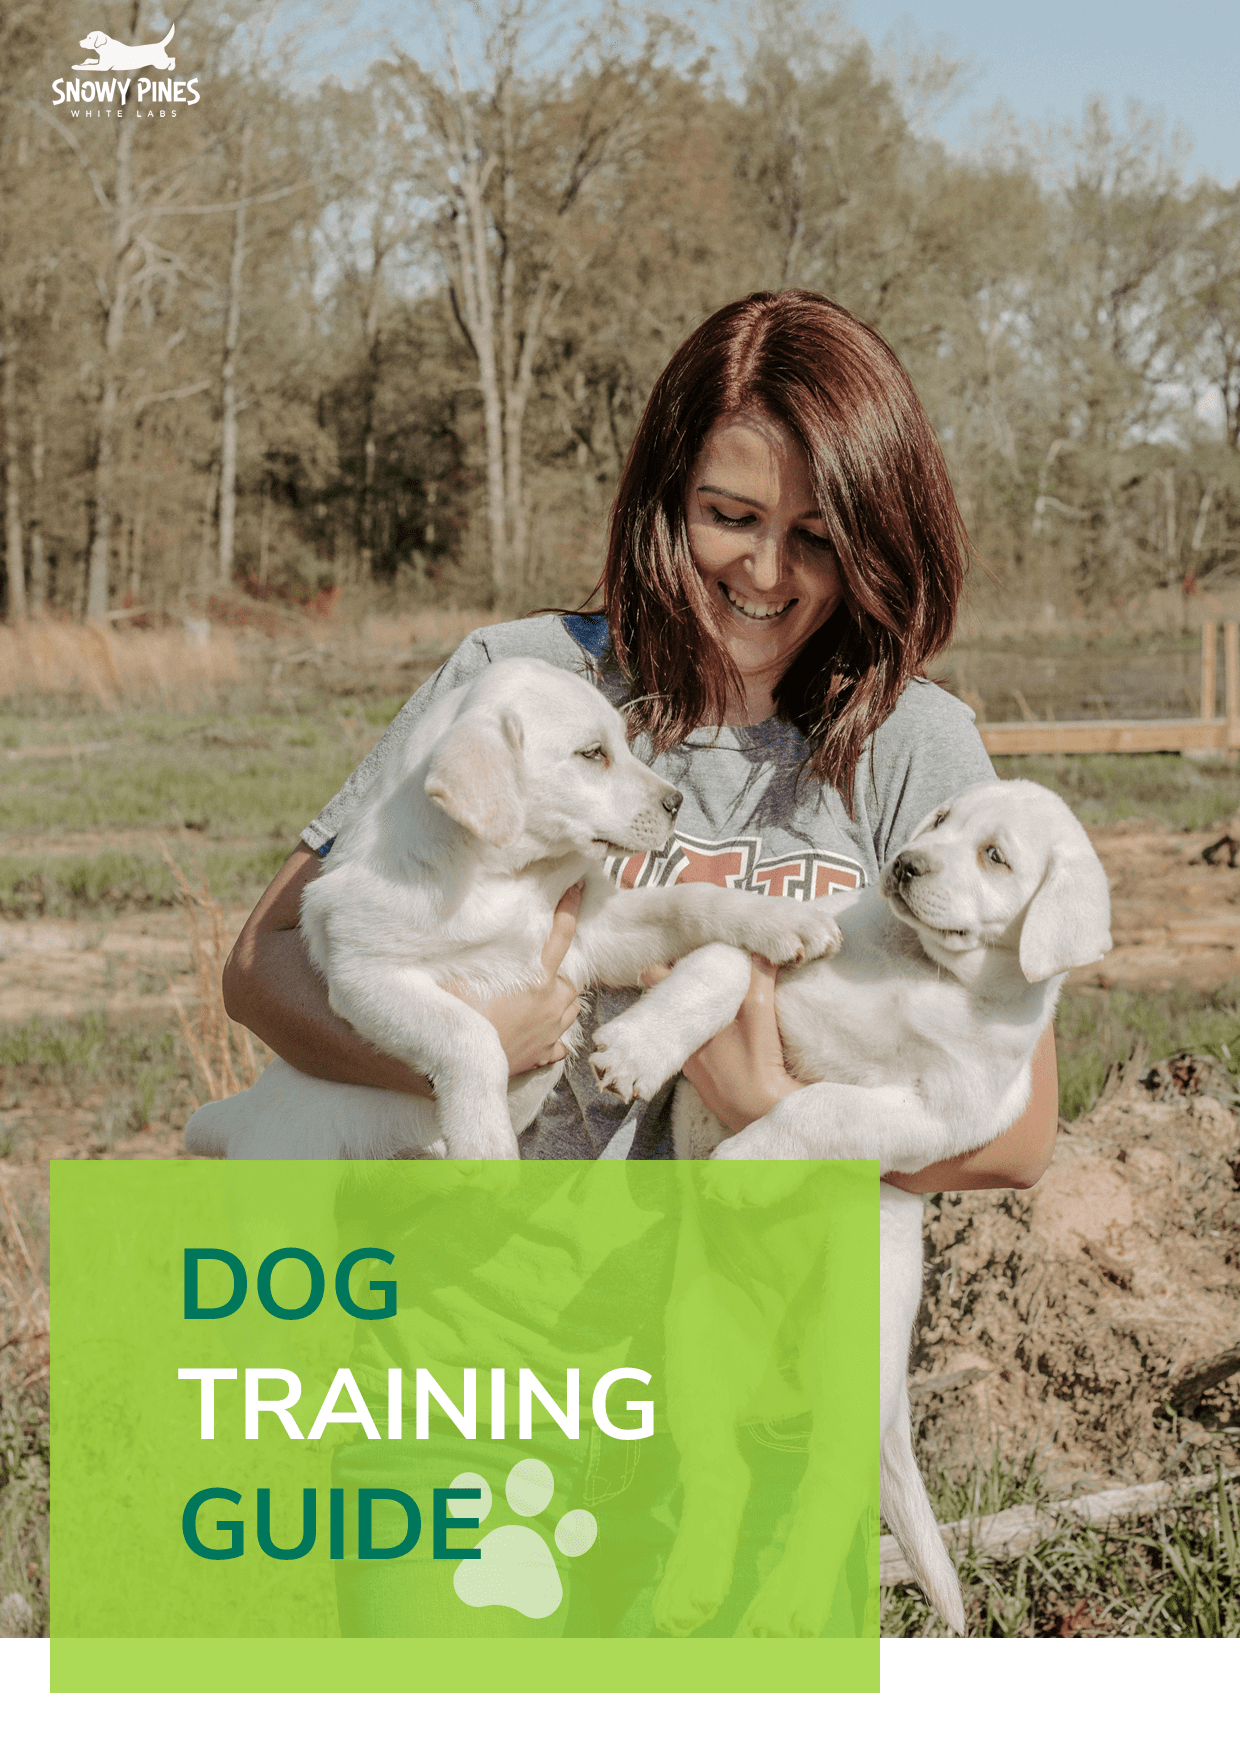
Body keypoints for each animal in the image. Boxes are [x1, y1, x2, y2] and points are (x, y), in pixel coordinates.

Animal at [186, 655, 845, 1164]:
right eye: (592, 754)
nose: (675, 802)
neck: (504, 881)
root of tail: (238, 1116)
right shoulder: (367, 976)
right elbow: (469, 1035)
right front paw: (486, 1147)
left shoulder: (595, 934)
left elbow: (693, 900)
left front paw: (784, 922)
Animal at [592, 782, 1115, 1627]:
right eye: (941, 822)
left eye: (995, 856)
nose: (905, 865)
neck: (926, 973)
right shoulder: (783, 951)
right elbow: (714, 971)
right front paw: (638, 1048)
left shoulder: (945, 1117)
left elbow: (830, 1105)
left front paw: (747, 1162)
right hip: (697, 1339)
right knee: (725, 1470)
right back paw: (690, 1588)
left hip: (851, 1351)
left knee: (836, 1482)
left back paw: (785, 1606)